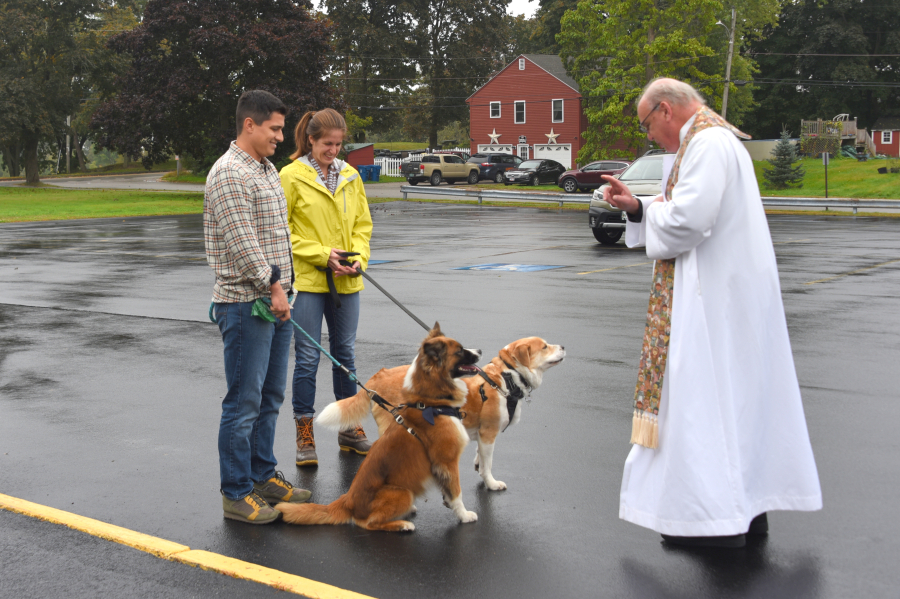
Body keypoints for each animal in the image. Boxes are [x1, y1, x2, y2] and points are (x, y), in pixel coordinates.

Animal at [278, 326, 482, 532]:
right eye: (459, 351)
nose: (480, 351)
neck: (431, 404)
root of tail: (347, 501)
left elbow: (448, 491)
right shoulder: (448, 461)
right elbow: (457, 492)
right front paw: (464, 515)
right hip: (403, 492)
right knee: (368, 523)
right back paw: (402, 524)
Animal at [322, 338, 564, 492]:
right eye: (544, 346)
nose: (563, 346)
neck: (506, 377)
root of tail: (380, 374)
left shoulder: (482, 436)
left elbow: (481, 457)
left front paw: (479, 466)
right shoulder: (489, 434)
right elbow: (488, 465)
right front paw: (491, 484)